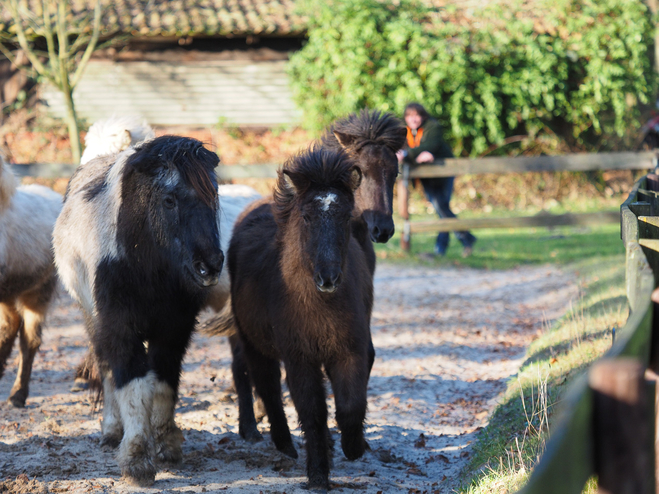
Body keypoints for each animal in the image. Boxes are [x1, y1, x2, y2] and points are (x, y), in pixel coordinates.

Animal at [52, 136, 223, 486]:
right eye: (169, 200)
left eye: (214, 194)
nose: (210, 265)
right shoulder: (120, 326)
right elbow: (133, 384)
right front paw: (137, 459)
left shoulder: (174, 329)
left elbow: (163, 384)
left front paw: (167, 445)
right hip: (92, 318)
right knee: (105, 367)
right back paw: (110, 431)